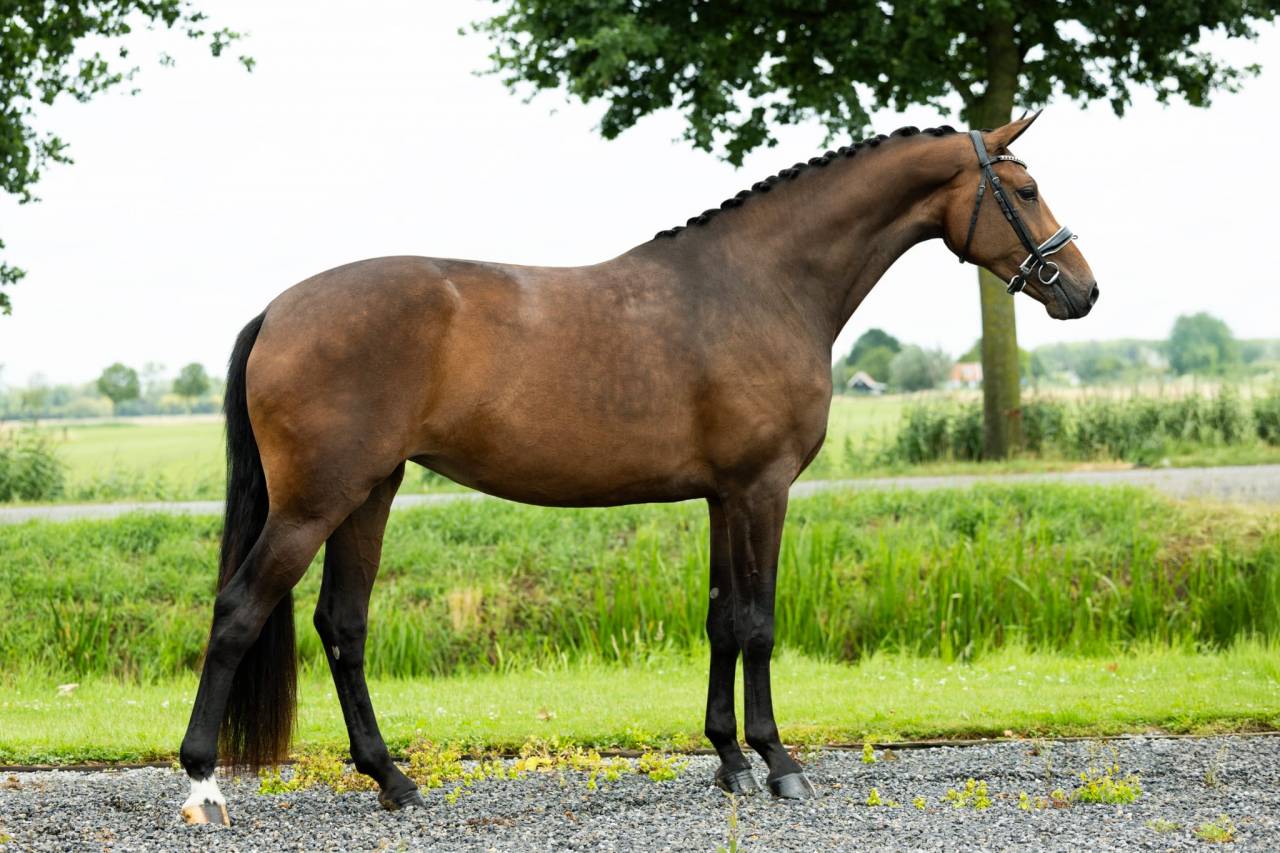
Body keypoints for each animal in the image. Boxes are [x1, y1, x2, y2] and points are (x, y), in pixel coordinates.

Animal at [178, 113, 1097, 824]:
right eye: (1022, 190)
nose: (1082, 291)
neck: (761, 284)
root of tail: (279, 310)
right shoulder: (763, 488)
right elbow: (759, 622)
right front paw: (779, 763)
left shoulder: (724, 496)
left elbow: (722, 619)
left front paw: (728, 759)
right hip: (314, 503)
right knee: (239, 611)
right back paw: (203, 786)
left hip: (371, 491)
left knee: (344, 624)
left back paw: (394, 779)